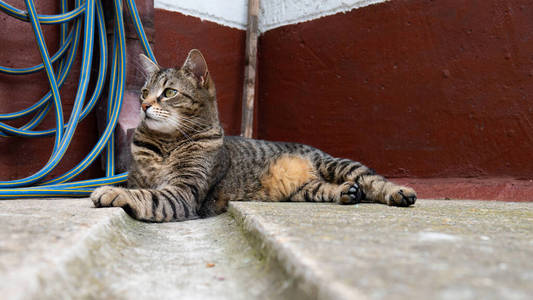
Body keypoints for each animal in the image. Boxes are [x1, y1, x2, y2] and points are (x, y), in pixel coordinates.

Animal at [90, 49, 416, 223]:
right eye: (144, 92)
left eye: (169, 93)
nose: (144, 105)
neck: (163, 145)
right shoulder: (143, 178)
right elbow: (141, 188)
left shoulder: (184, 192)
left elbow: (148, 195)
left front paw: (112, 192)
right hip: (306, 189)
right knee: (329, 188)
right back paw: (347, 193)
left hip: (337, 164)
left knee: (373, 180)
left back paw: (399, 193)